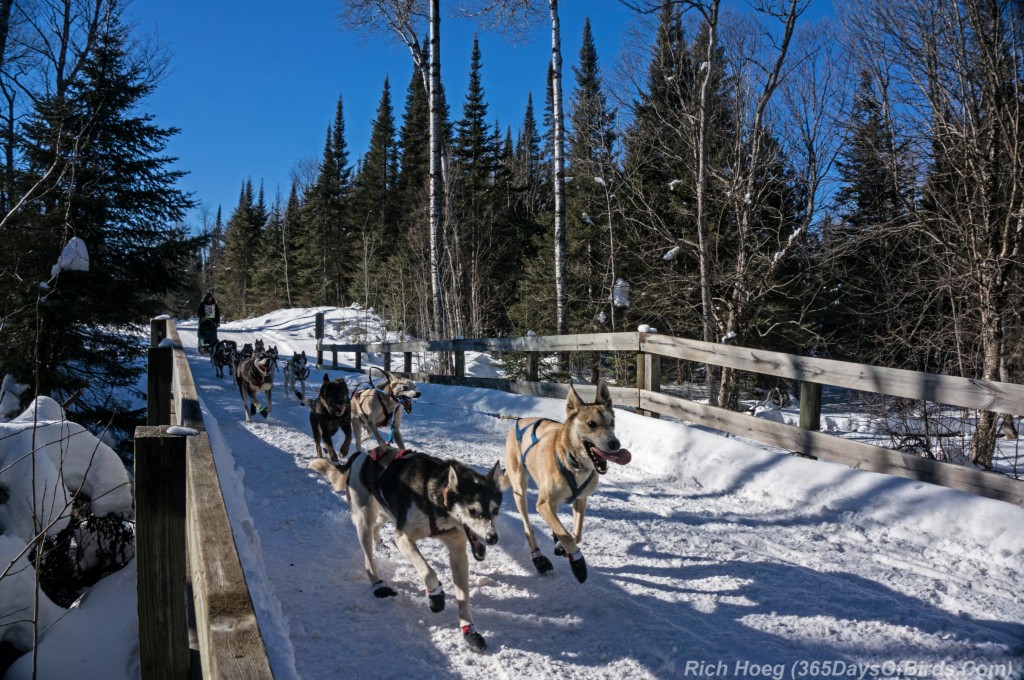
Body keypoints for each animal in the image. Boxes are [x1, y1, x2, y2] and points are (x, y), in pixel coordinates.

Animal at [307, 446, 507, 655]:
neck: (436, 498)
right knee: (368, 557)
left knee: (377, 526)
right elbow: (428, 572)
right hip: (364, 520)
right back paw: (378, 585)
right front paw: (435, 597)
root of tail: (362, 454)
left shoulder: (457, 551)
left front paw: (469, 631)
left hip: (386, 513)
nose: (493, 538)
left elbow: (463, 597)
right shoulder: (403, 538)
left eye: (495, 510)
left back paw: (381, 545)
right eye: (473, 511)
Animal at [503, 383, 630, 585]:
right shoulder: (543, 504)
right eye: (592, 424)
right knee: (528, 528)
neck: (573, 462)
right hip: (520, 490)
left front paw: (562, 545)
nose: (615, 444)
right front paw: (577, 563)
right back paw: (538, 558)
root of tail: (519, 423)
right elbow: (568, 537)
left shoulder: (580, 500)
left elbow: (575, 534)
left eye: (612, 422)